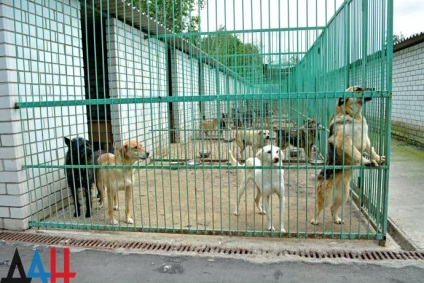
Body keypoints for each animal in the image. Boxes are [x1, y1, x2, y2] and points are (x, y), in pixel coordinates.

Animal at [310, 86, 386, 226]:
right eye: (358, 89)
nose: (373, 88)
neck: (354, 116)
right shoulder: (345, 141)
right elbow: (357, 153)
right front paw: (366, 162)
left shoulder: (366, 140)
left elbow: (371, 151)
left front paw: (378, 158)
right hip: (325, 196)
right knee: (318, 208)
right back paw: (315, 220)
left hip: (343, 196)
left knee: (333, 208)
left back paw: (336, 219)